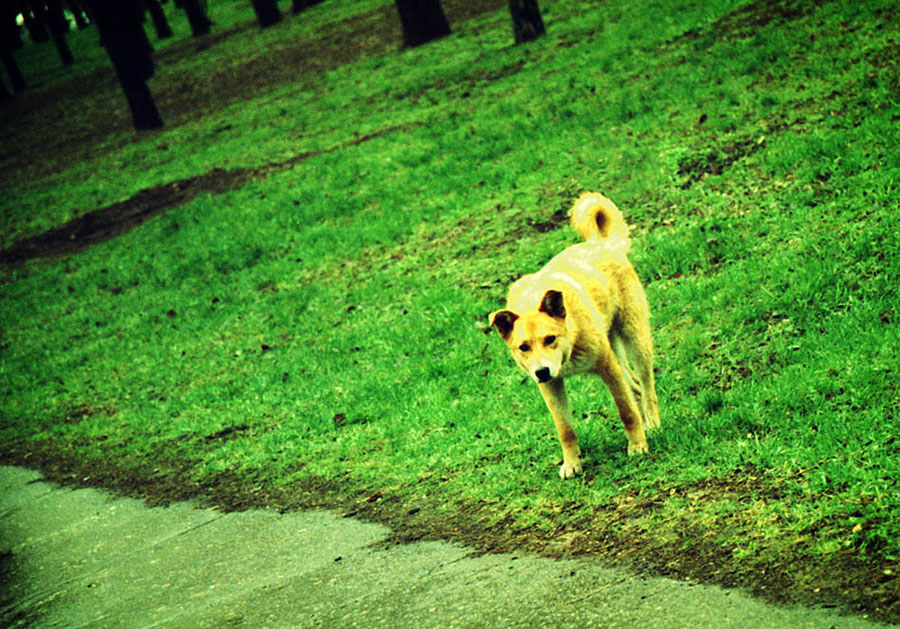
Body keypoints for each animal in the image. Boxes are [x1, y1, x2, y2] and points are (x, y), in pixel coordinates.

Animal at [492, 191, 660, 476]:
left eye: (550, 339)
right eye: (523, 347)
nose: (541, 371)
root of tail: (600, 244)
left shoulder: (607, 368)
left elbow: (626, 411)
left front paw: (637, 446)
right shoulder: (551, 387)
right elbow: (565, 430)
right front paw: (572, 463)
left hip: (635, 341)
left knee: (647, 387)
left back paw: (654, 424)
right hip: (617, 353)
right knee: (636, 386)